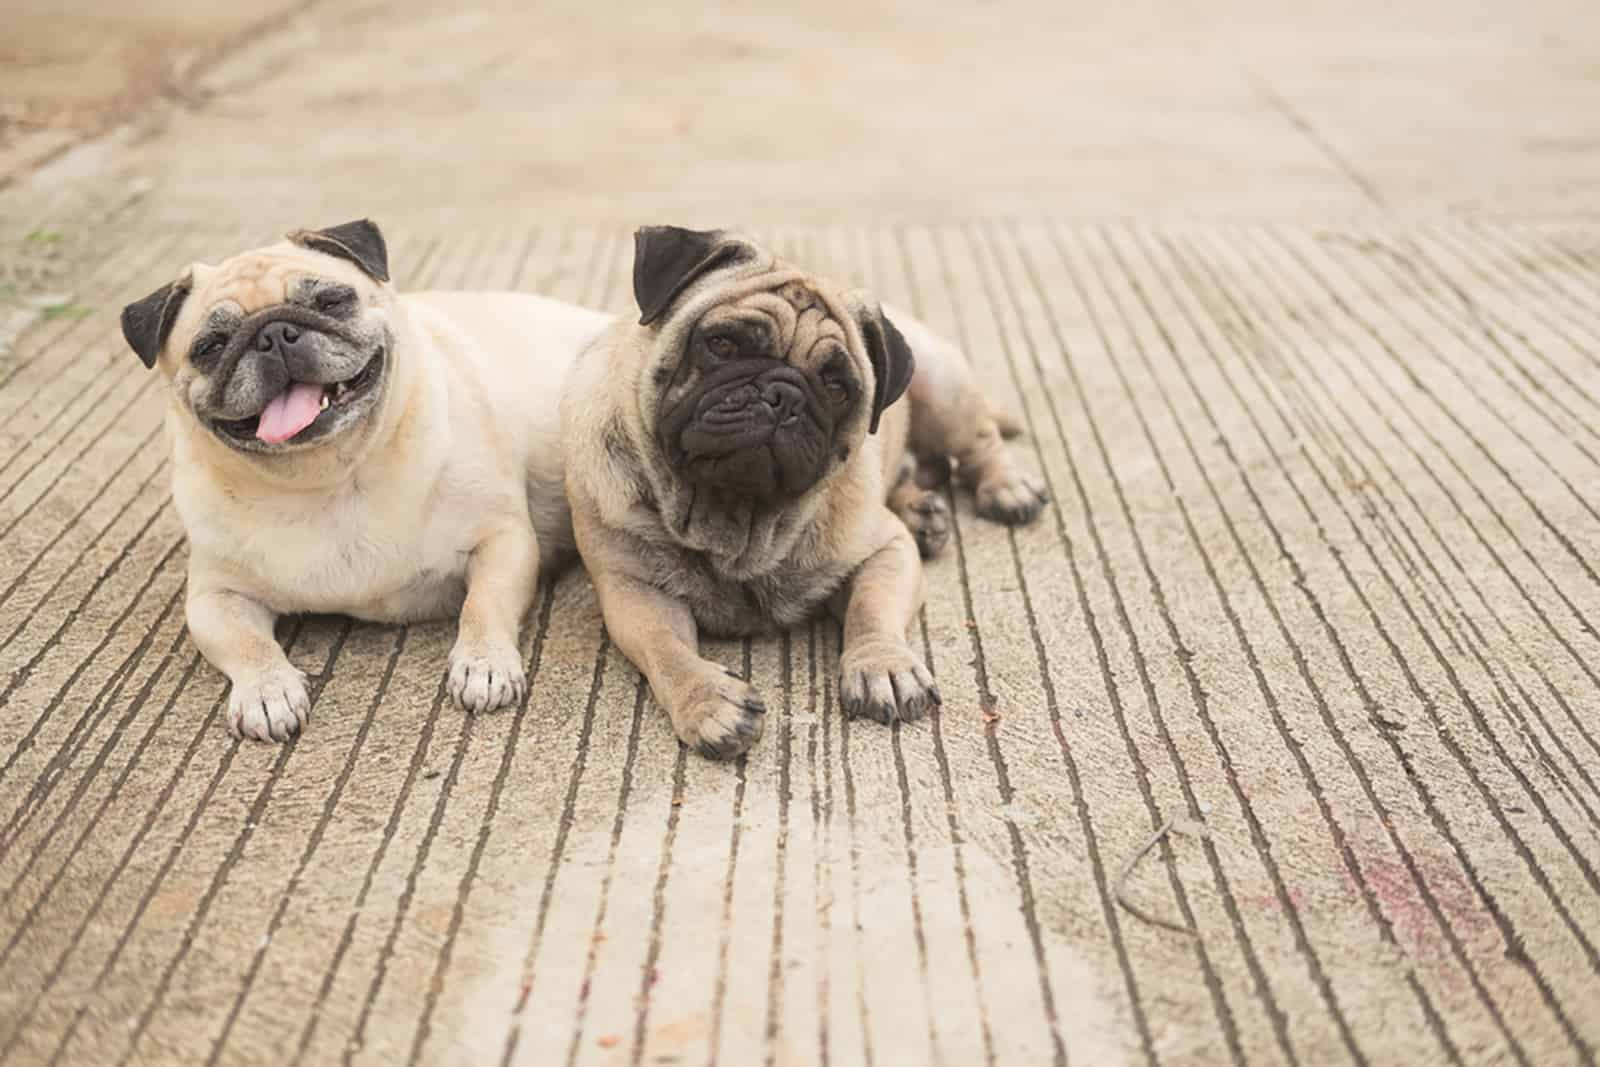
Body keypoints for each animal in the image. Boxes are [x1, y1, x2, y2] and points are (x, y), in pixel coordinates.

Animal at [121, 220, 611, 742]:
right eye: (210, 347)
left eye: (331, 302)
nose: (273, 333)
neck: (332, 478)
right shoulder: (215, 596)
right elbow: (245, 646)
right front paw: (266, 692)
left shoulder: (502, 540)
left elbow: (484, 604)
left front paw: (484, 663)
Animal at [566, 225, 1049, 758]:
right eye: (722, 344)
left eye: (837, 387)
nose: (784, 395)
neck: (738, 520)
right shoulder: (634, 591)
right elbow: (666, 649)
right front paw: (707, 699)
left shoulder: (885, 551)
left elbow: (872, 610)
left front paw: (882, 665)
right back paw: (922, 513)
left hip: (944, 391)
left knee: (979, 442)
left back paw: (1006, 489)